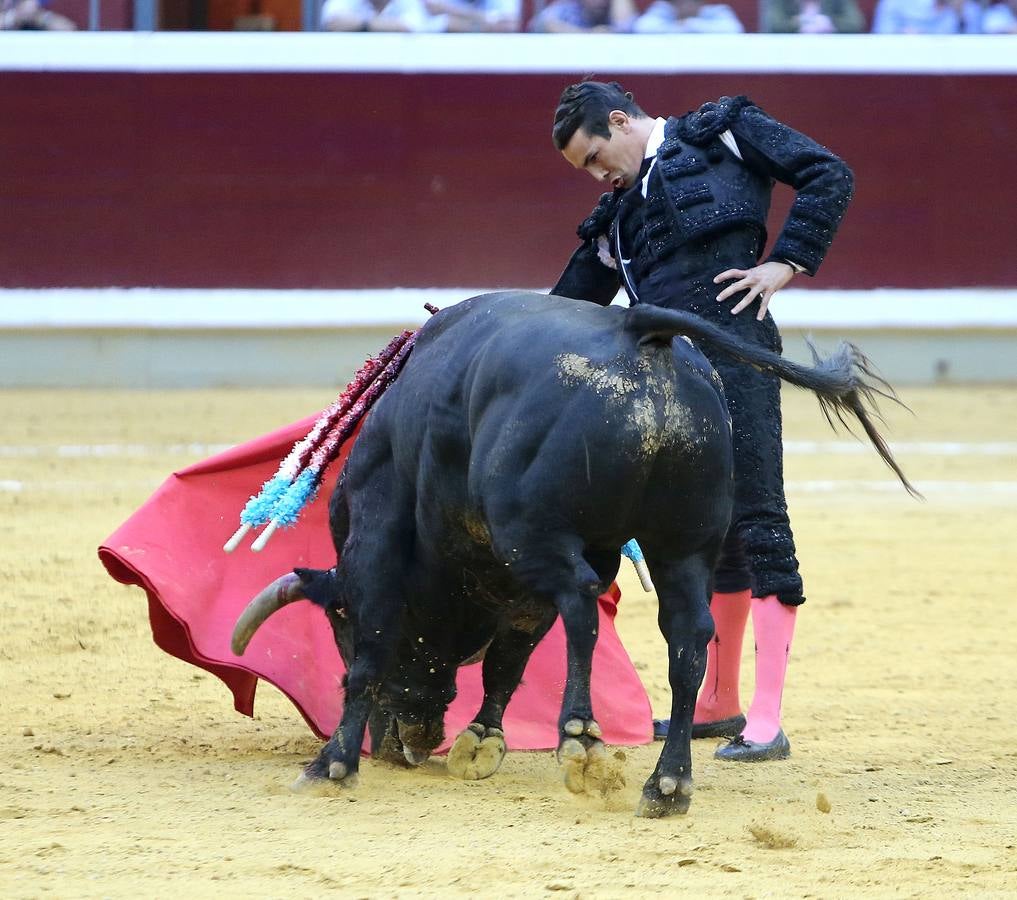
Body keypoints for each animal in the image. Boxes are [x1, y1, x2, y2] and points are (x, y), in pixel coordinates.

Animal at [230, 290, 915, 817]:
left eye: (338, 623)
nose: (406, 746)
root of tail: (642, 332)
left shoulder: (380, 544)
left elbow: (376, 656)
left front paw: (332, 763)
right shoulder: (523, 578)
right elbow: (509, 657)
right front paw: (481, 739)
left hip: (537, 534)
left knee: (584, 602)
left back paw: (581, 738)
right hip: (682, 543)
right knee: (687, 636)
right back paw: (667, 784)